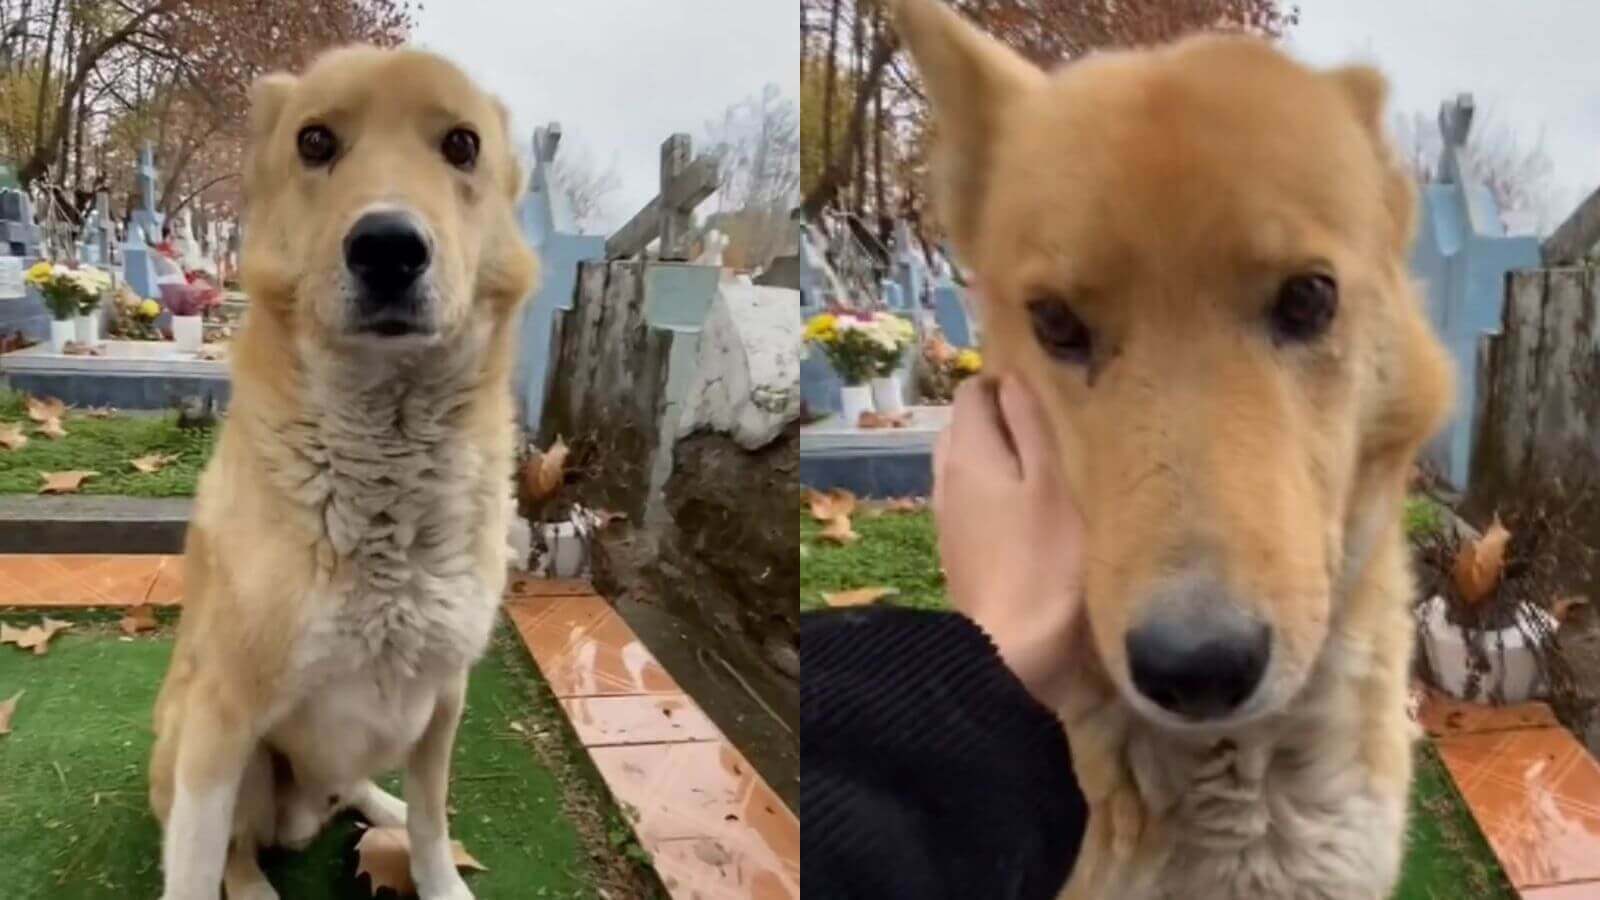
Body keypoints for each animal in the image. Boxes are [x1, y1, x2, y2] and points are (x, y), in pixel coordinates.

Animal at [145, 43, 531, 896]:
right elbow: (196, 864)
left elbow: (431, 821)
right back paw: (256, 884)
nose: (388, 246)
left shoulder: (445, 697)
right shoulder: (222, 720)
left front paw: (439, 876)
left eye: (462, 145)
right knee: (239, 847)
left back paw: (379, 805)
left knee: (363, 788)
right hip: (208, 744)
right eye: (315, 142)